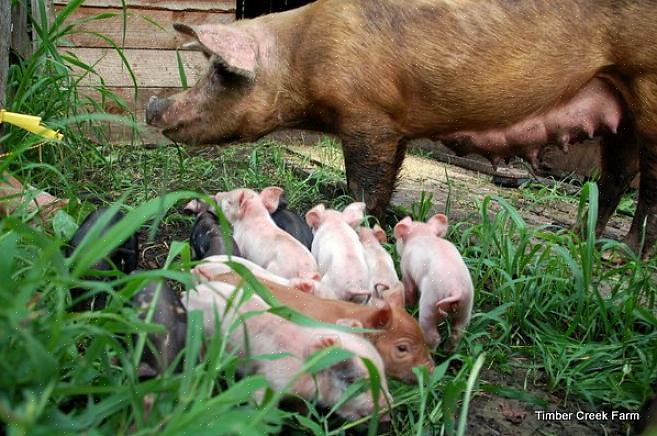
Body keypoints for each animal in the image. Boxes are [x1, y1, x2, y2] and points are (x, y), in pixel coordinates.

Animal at [146, 0, 656, 258]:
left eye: (221, 72)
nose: (153, 109)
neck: (302, 57)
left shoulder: (368, 117)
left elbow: (364, 182)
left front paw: (361, 223)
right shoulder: (396, 127)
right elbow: (390, 177)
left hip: (647, 81)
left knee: (647, 181)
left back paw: (628, 253)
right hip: (619, 105)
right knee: (615, 176)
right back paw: (579, 239)